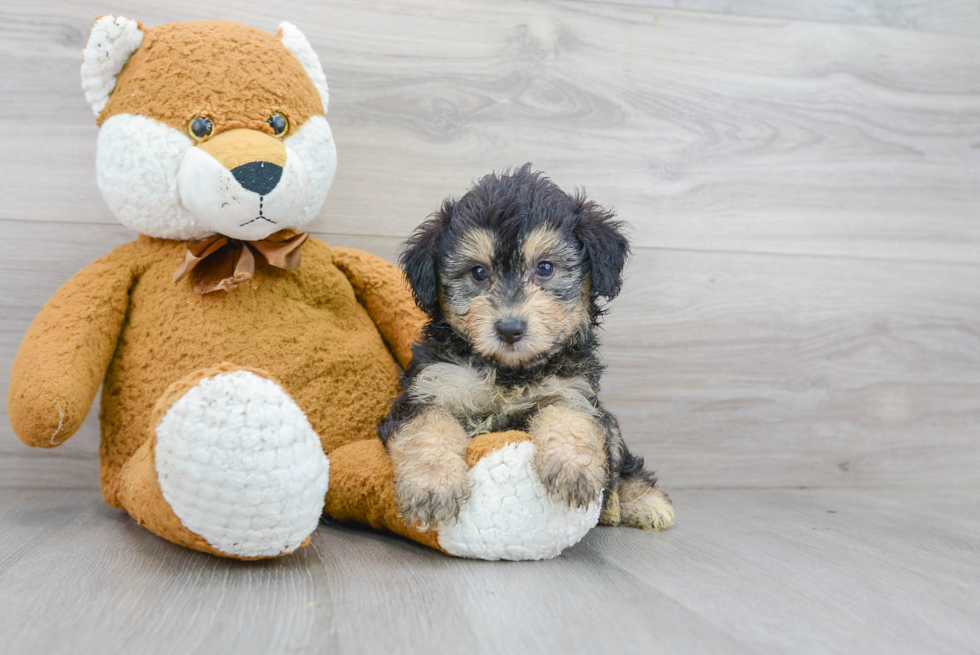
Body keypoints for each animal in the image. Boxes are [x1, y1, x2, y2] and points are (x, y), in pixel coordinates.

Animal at [378, 164, 672, 532]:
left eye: (545, 267)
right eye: (478, 272)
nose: (509, 329)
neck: (508, 371)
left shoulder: (571, 389)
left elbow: (569, 416)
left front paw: (573, 468)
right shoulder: (427, 389)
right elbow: (428, 426)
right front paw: (433, 485)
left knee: (621, 457)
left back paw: (642, 502)